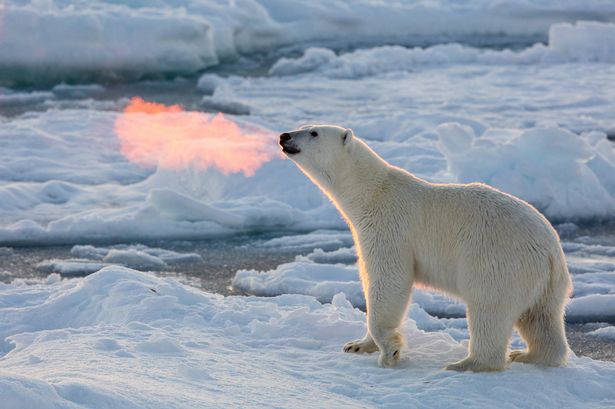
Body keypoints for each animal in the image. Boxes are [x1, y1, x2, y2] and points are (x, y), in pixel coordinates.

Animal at [280, 124, 572, 370]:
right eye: (304, 125)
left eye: (313, 132)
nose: (284, 136)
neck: (371, 192)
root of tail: (550, 251)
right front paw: (357, 345)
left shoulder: (389, 226)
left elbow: (389, 280)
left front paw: (390, 352)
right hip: (546, 283)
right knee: (541, 318)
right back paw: (528, 355)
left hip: (499, 261)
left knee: (489, 309)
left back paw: (467, 364)